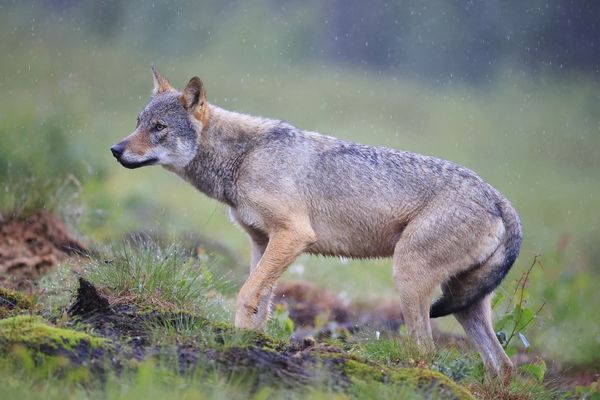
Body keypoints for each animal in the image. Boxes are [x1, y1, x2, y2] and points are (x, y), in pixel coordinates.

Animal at [111, 67, 520, 376]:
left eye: (159, 127)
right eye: (138, 123)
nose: (115, 150)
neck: (244, 158)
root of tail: (501, 199)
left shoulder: (293, 235)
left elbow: (245, 294)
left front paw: (237, 344)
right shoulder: (262, 242)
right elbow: (261, 304)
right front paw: (249, 343)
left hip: (409, 277)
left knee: (427, 351)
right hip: (466, 306)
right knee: (503, 365)